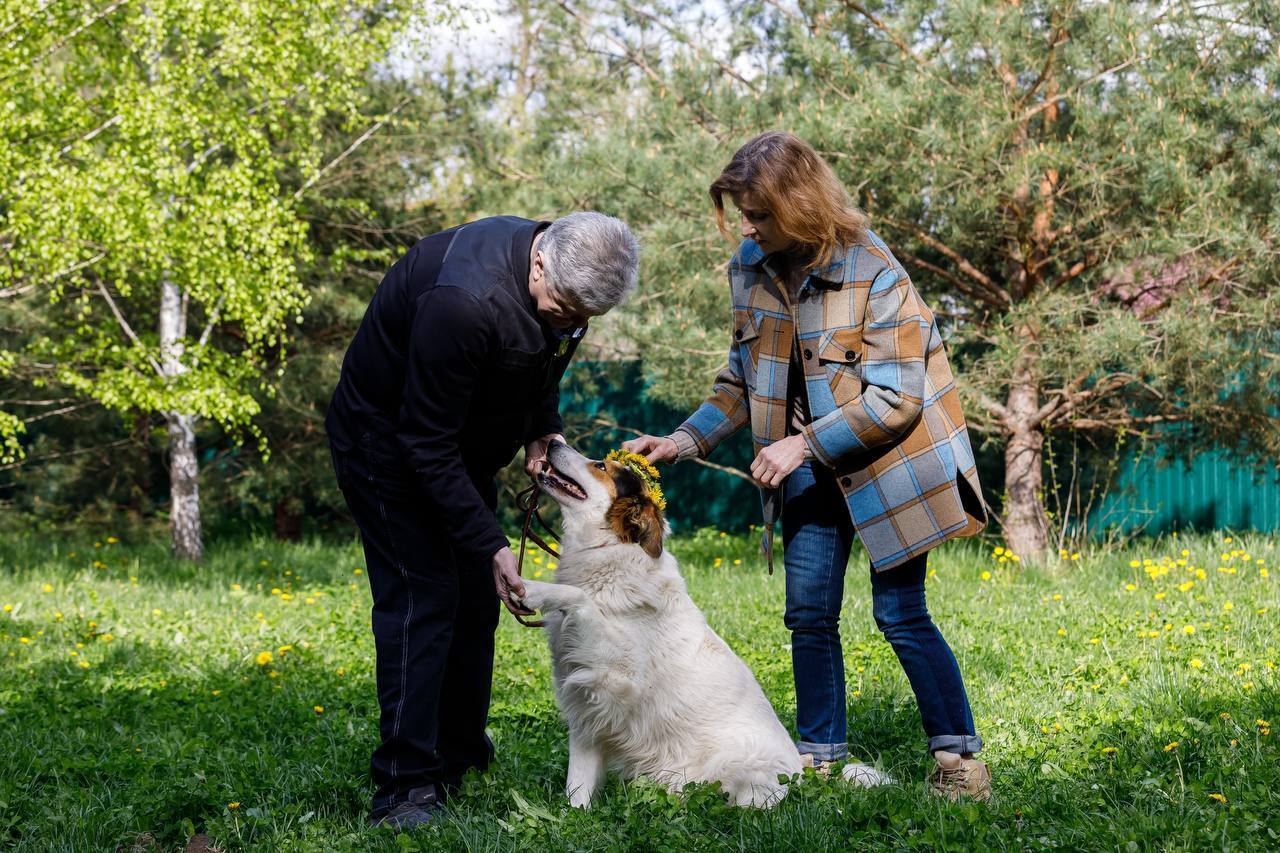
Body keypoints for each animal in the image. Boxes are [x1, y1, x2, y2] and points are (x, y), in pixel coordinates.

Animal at [512, 440, 890, 809]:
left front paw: (531, 588)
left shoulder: (617, 674)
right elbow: (577, 786)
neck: (611, 550)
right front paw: (575, 816)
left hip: (735, 768)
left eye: (601, 465)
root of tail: (801, 769)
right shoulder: (587, 708)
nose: (551, 441)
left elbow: (579, 598)